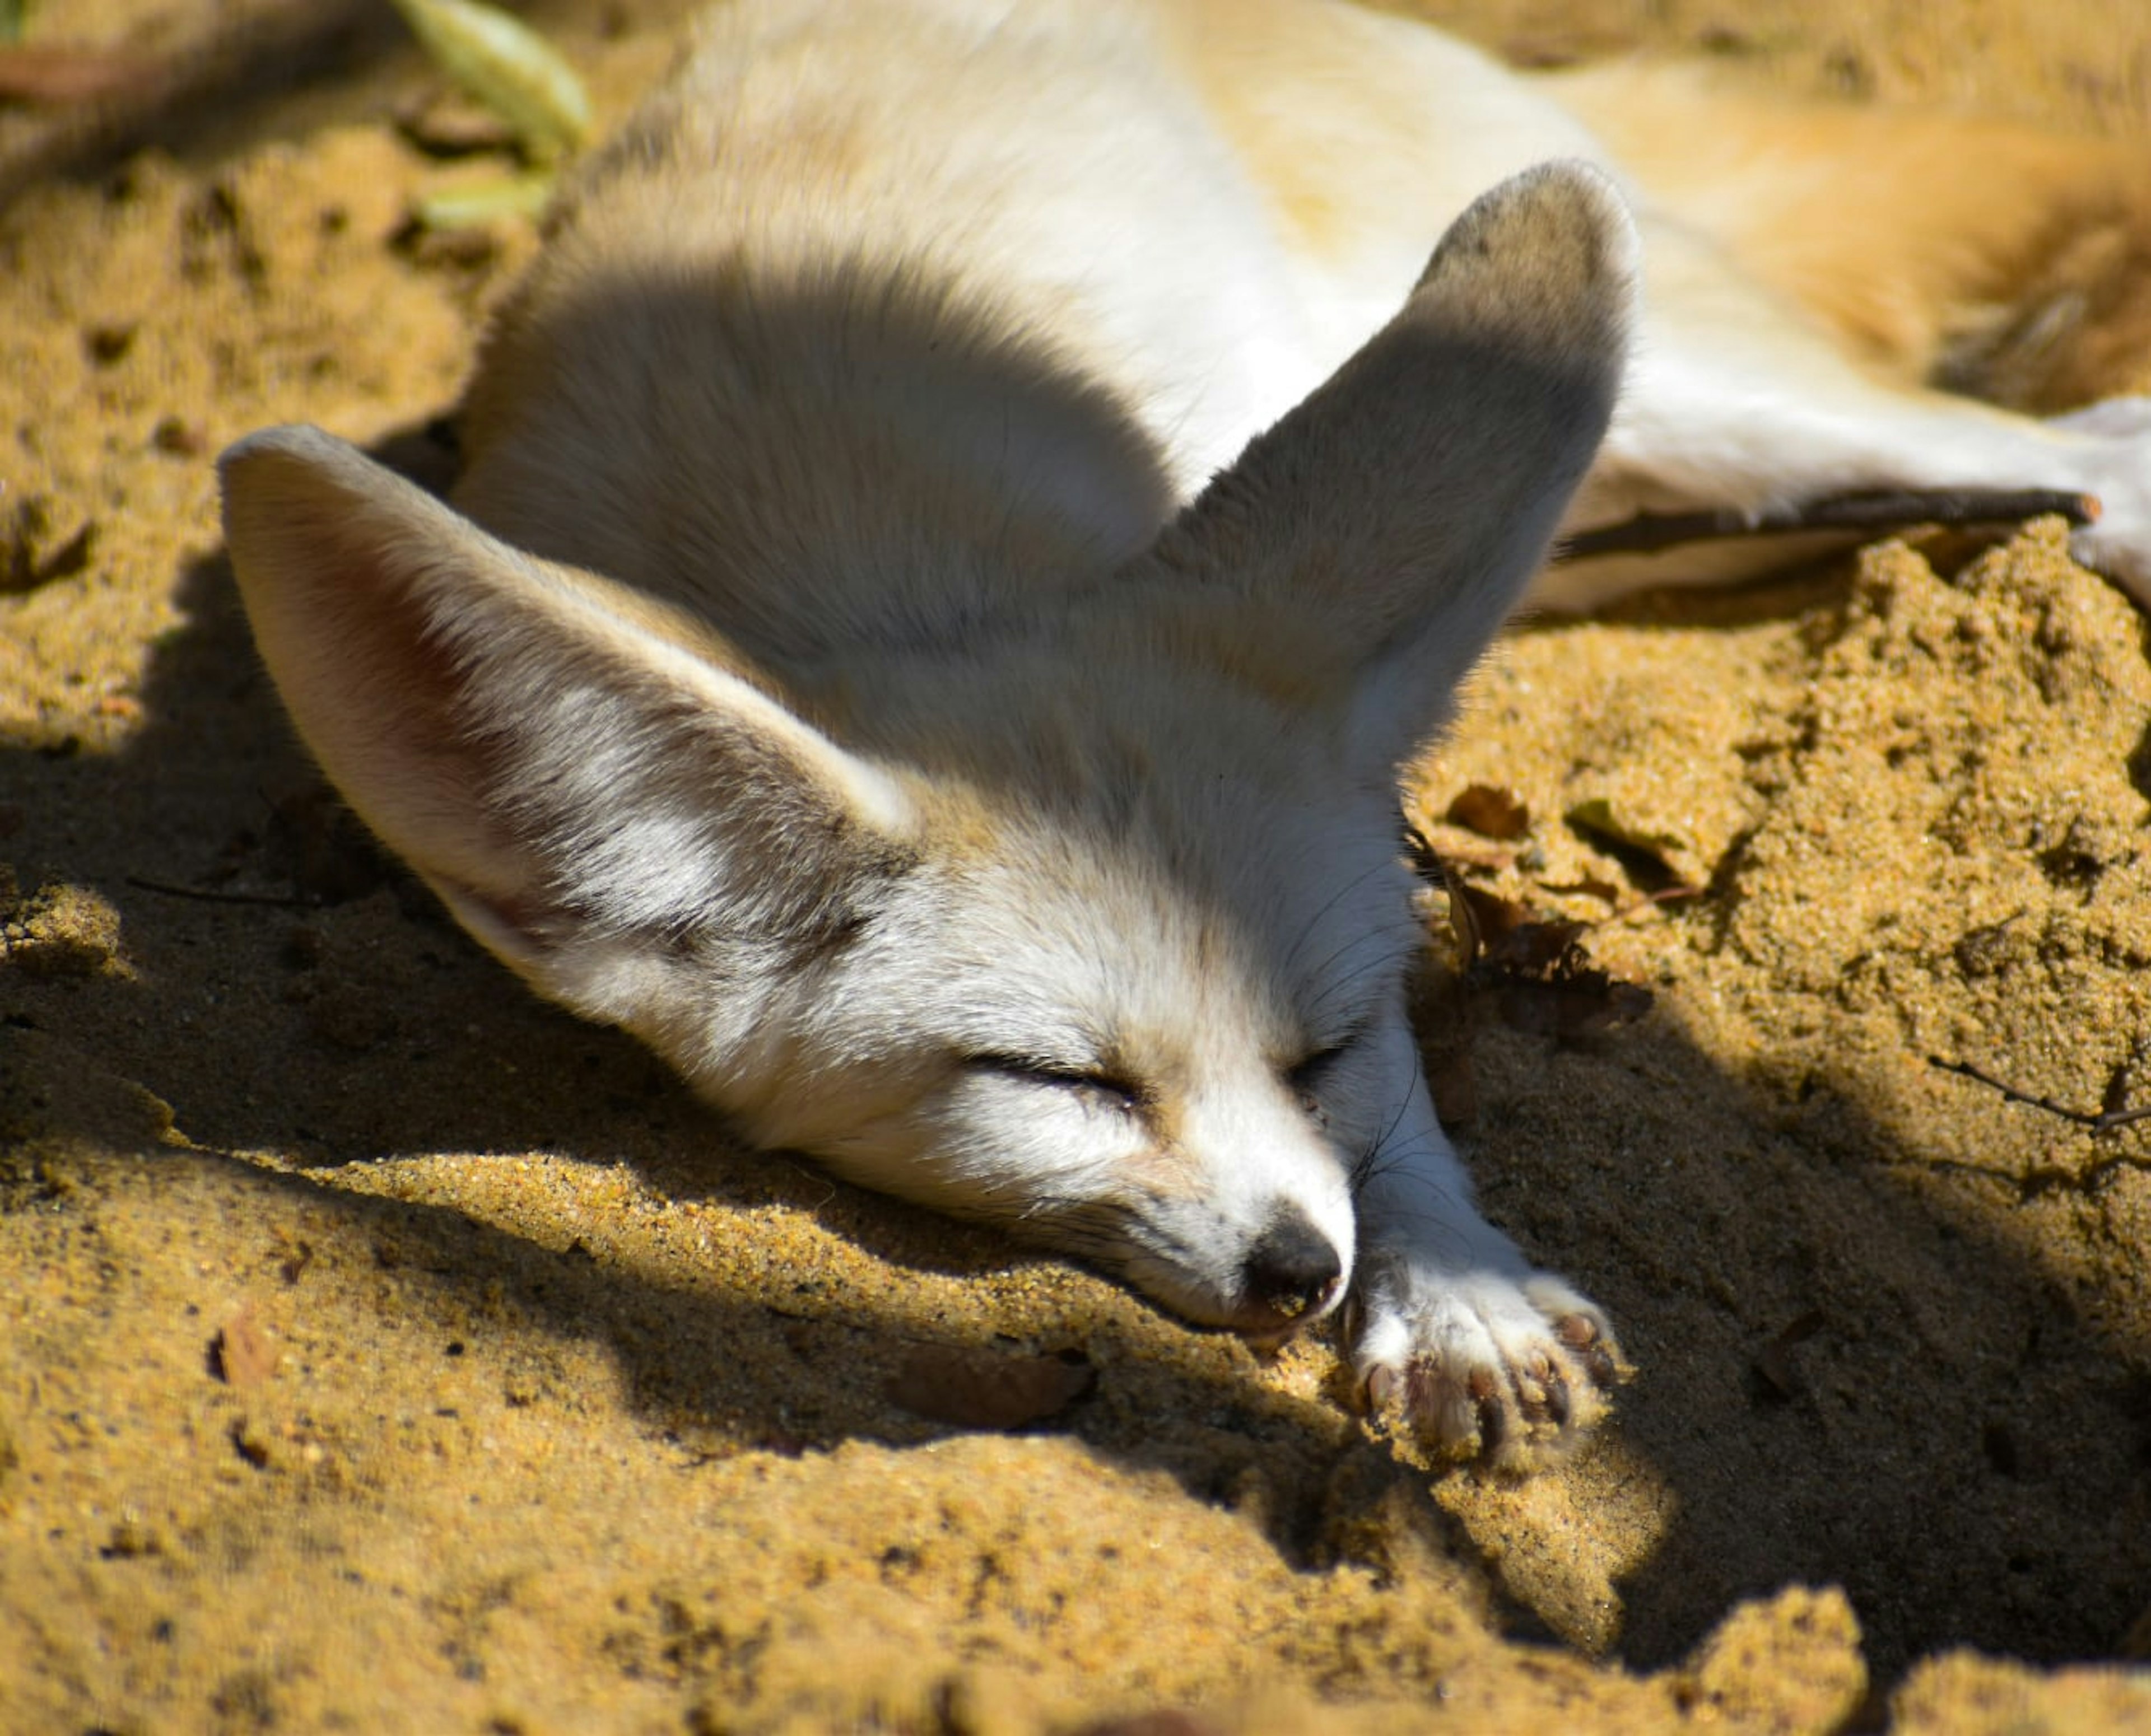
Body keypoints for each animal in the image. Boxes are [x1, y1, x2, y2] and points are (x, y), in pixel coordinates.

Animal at [218, 0, 2151, 1463]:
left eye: (1325, 1043)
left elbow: (1402, 1108)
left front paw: (1452, 1283)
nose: (1300, 1273)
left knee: (2062, 441)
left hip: (1686, 400)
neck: (912, 573)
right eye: (1062, 1085)